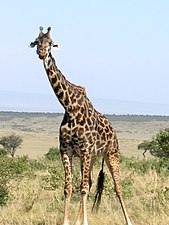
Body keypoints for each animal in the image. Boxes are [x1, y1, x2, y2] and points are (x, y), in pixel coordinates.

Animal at [30, 26, 133, 225]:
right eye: (36, 42)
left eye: (50, 43)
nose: (41, 53)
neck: (69, 107)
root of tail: (114, 132)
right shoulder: (67, 150)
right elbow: (69, 187)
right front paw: (68, 221)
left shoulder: (84, 150)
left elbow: (83, 188)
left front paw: (84, 222)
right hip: (92, 157)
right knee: (91, 182)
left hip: (111, 154)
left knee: (117, 186)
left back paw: (128, 221)